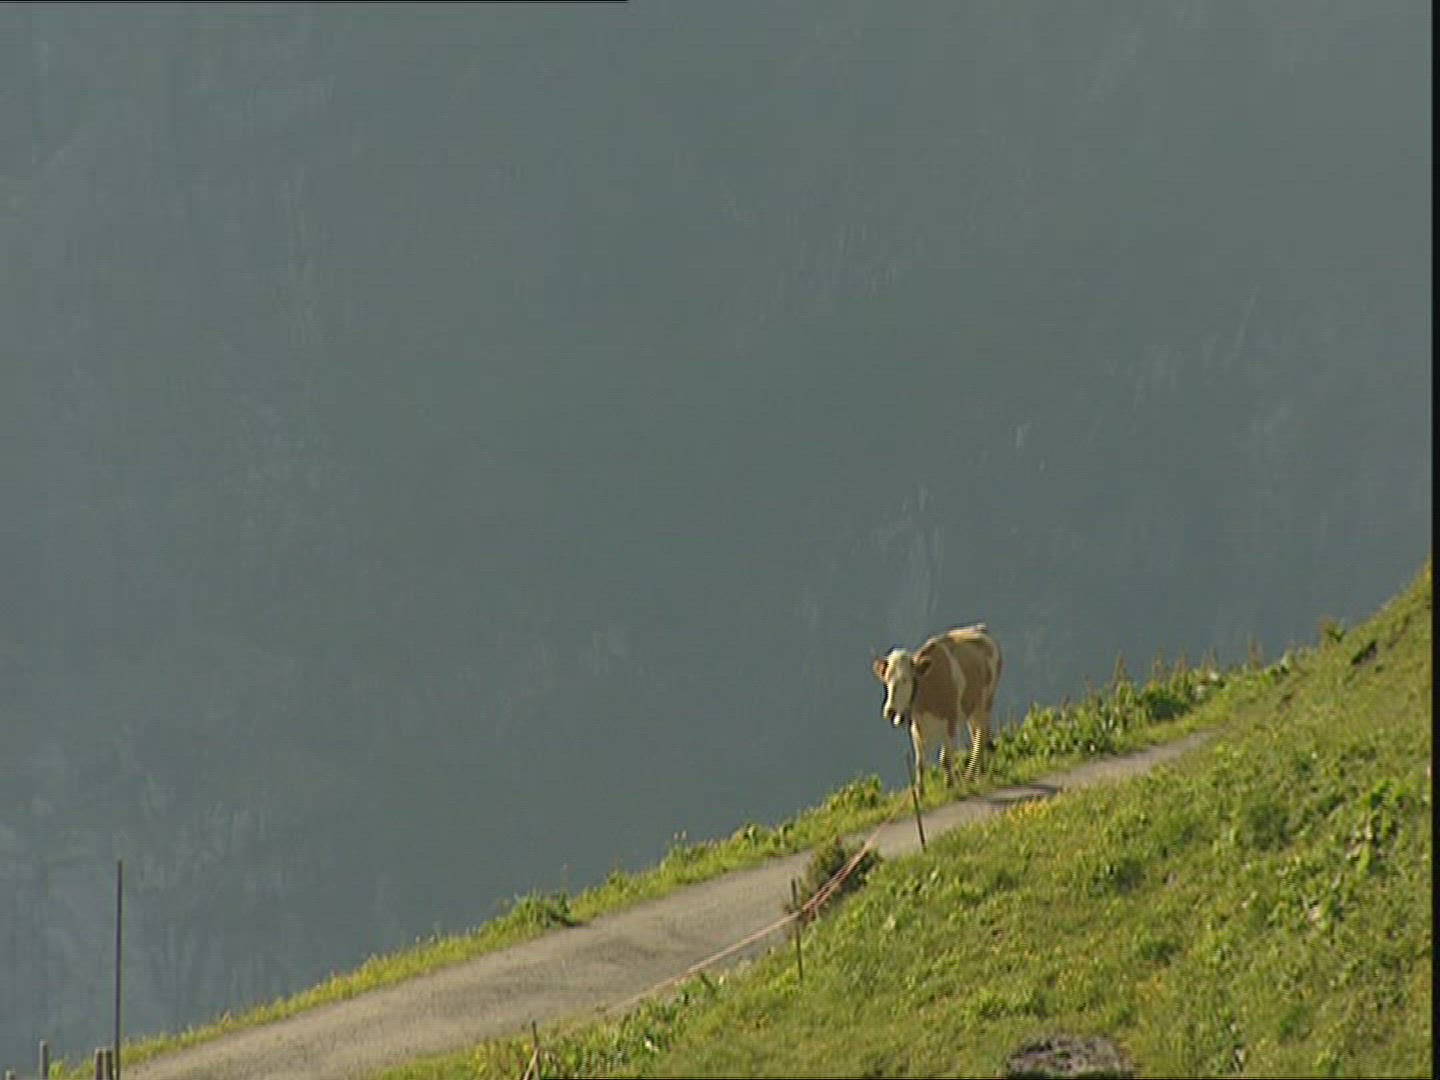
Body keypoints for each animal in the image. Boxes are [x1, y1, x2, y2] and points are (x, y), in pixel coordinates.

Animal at [872, 623, 1003, 794]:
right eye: (886, 680)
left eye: (905, 680)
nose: (890, 711)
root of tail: (979, 628)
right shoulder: (917, 728)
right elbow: (920, 764)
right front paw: (920, 793)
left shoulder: (951, 722)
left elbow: (945, 759)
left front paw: (950, 786)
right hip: (972, 708)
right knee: (977, 734)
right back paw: (980, 772)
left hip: (986, 701)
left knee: (980, 736)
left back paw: (970, 776)